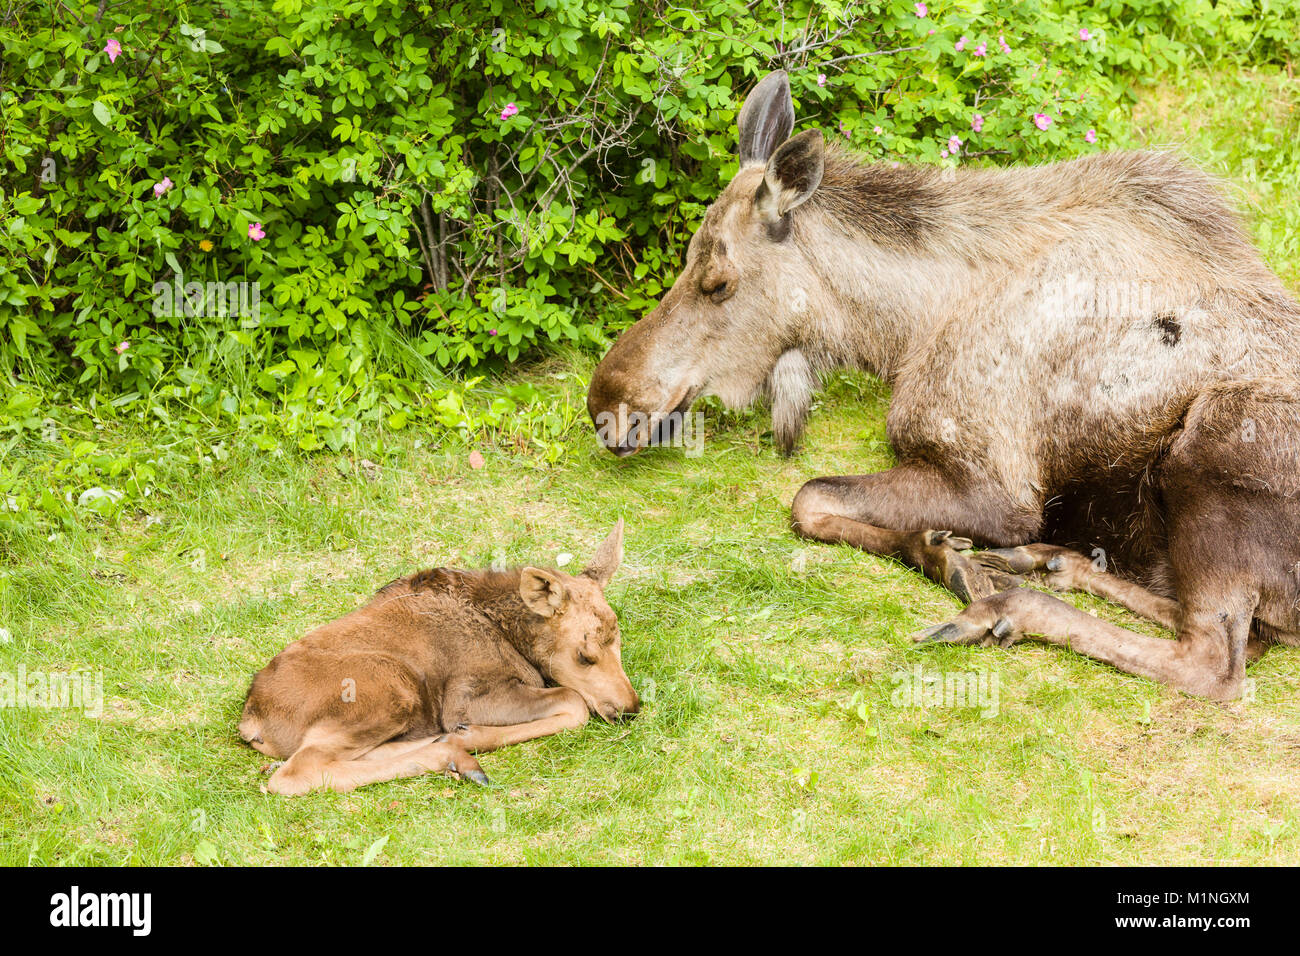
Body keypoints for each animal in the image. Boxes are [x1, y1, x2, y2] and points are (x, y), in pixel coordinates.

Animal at [243, 520, 639, 796]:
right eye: (584, 655)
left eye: (619, 640)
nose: (630, 708)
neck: (509, 632)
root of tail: (252, 720)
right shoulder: (466, 697)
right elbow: (574, 702)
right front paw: (470, 733)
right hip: (390, 688)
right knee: (298, 771)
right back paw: (454, 754)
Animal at [590, 70, 1300, 697]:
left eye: (717, 280)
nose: (607, 403)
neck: (903, 331)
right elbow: (819, 504)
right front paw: (944, 549)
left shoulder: (997, 489)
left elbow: (807, 496)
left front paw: (951, 561)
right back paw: (1050, 563)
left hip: (1210, 443)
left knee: (1216, 662)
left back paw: (1003, 607)